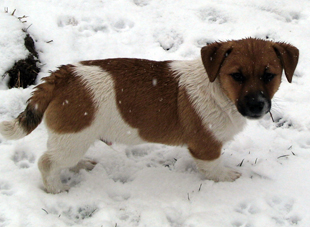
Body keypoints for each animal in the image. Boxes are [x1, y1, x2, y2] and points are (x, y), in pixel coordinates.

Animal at [0, 37, 298, 193]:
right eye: (236, 76)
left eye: (269, 76)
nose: (258, 105)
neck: (219, 92)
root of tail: (62, 75)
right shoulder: (206, 146)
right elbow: (213, 168)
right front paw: (225, 178)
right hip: (73, 137)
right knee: (47, 163)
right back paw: (57, 189)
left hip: (73, 139)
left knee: (59, 158)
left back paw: (79, 166)